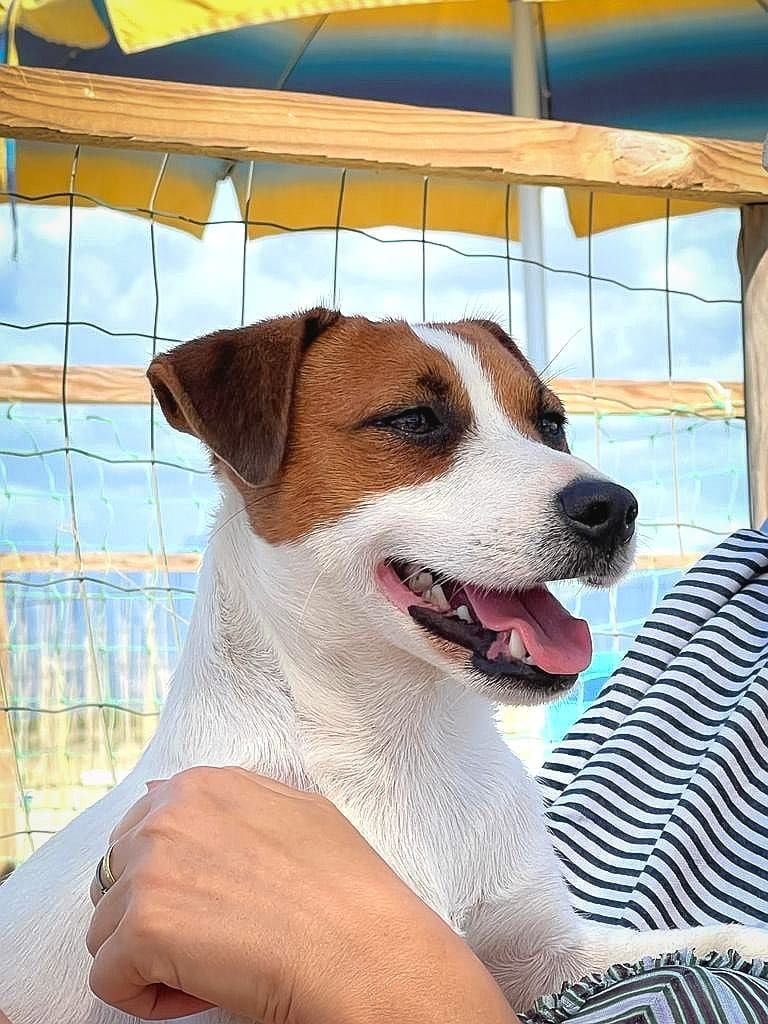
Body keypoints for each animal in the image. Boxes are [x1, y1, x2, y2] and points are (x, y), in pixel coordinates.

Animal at [1, 309, 765, 1023]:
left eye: (551, 424)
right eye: (414, 420)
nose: (614, 507)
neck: (409, 747)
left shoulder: (547, 951)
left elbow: (700, 938)